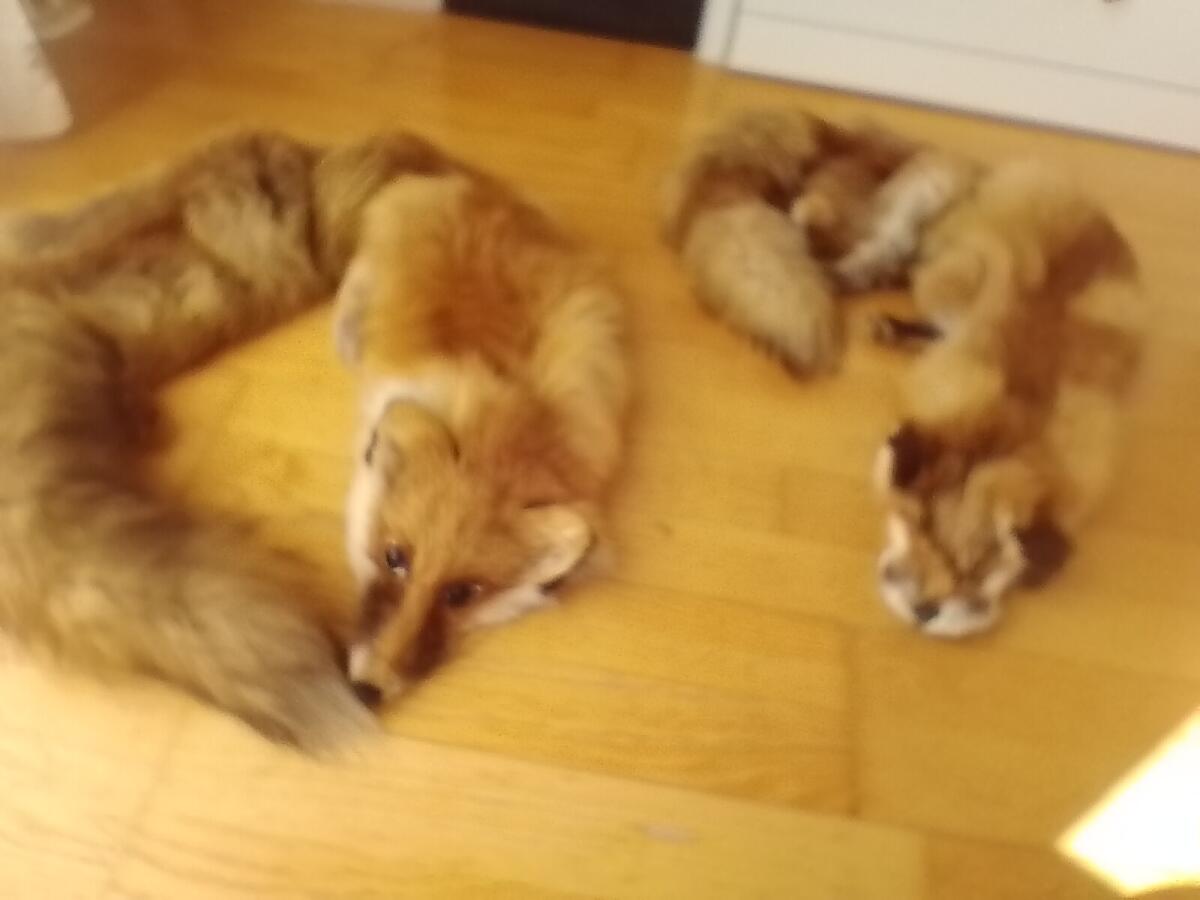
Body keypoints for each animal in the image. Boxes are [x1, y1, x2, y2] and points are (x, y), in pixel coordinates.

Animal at [332, 173, 629, 705]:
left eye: (461, 594)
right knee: (354, 280)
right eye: (394, 557)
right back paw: (348, 330)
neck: (497, 438)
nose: (367, 692)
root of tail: (481, 186)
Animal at [859, 160, 1145, 637]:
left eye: (980, 568)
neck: (1009, 424)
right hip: (952, 276)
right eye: (919, 530)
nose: (923, 614)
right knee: (926, 269)